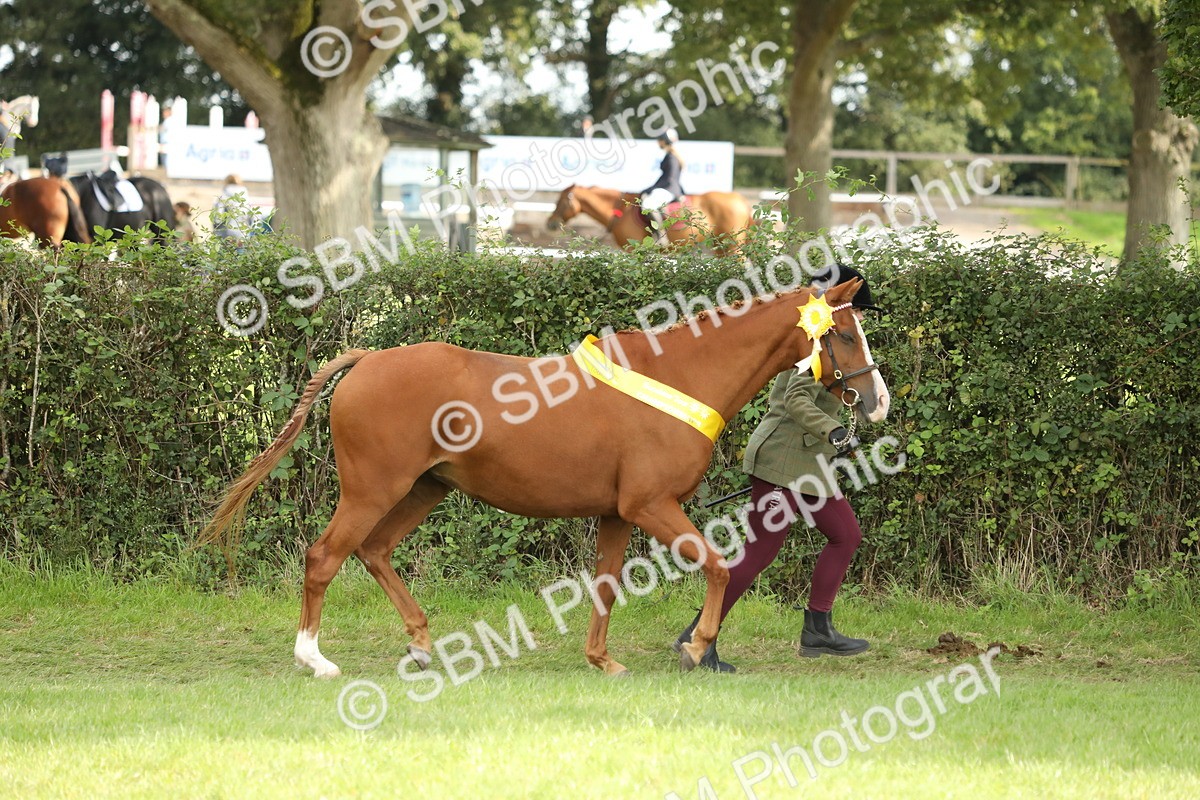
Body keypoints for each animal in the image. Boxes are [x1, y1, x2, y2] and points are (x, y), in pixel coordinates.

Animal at [199, 278, 890, 678]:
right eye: (844, 333)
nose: (878, 401)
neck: (677, 376)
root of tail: (367, 359)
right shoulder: (651, 505)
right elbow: (719, 567)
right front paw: (697, 648)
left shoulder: (617, 513)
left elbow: (607, 584)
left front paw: (602, 659)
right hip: (373, 490)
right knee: (324, 557)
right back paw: (314, 658)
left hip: (425, 488)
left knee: (374, 551)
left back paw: (421, 646)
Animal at [547, 185, 754, 256]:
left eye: (561, 201)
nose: (550, 223)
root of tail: (741, 200)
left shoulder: (634, 250)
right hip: (722, 246)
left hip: (733, 245)